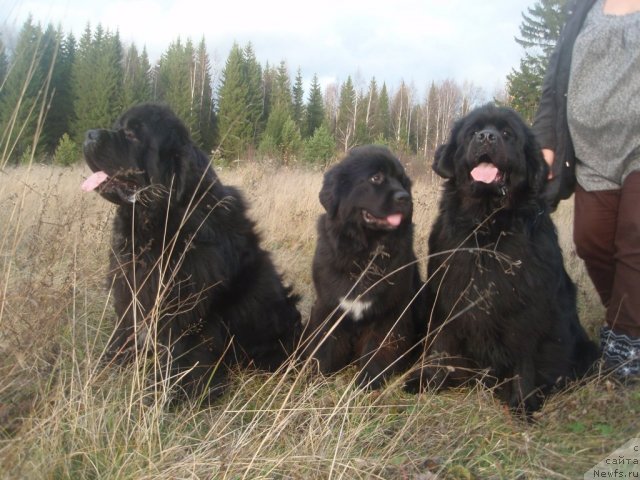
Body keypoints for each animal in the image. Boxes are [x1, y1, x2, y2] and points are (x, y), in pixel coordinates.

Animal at [82, 103, 302, 400]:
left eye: (131, 134)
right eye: (117, 126)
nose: (89, 134)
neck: (161, 219)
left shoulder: (186, 303)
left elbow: (183, 353)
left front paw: (169, 393)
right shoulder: (131, 288)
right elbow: (124, 330)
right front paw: (110, 364)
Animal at [304, 144, 424, 388]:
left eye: (403, 182)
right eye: (376, 177)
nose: (405, 198)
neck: (365, 254)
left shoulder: (390, 312)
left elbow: (378, 349)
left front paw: (367, 382)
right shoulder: (328, 307)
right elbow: (324, 347)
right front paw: (314, 379)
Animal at [404, 105, 600, 412]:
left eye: (507, 133)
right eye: (473, 131)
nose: (486, 137)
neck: (487, 227)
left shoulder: (527, 305)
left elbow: (523, 355)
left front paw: (522, 402)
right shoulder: (447, 294)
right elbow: (440, 344)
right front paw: (428, 380)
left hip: (587, 349)